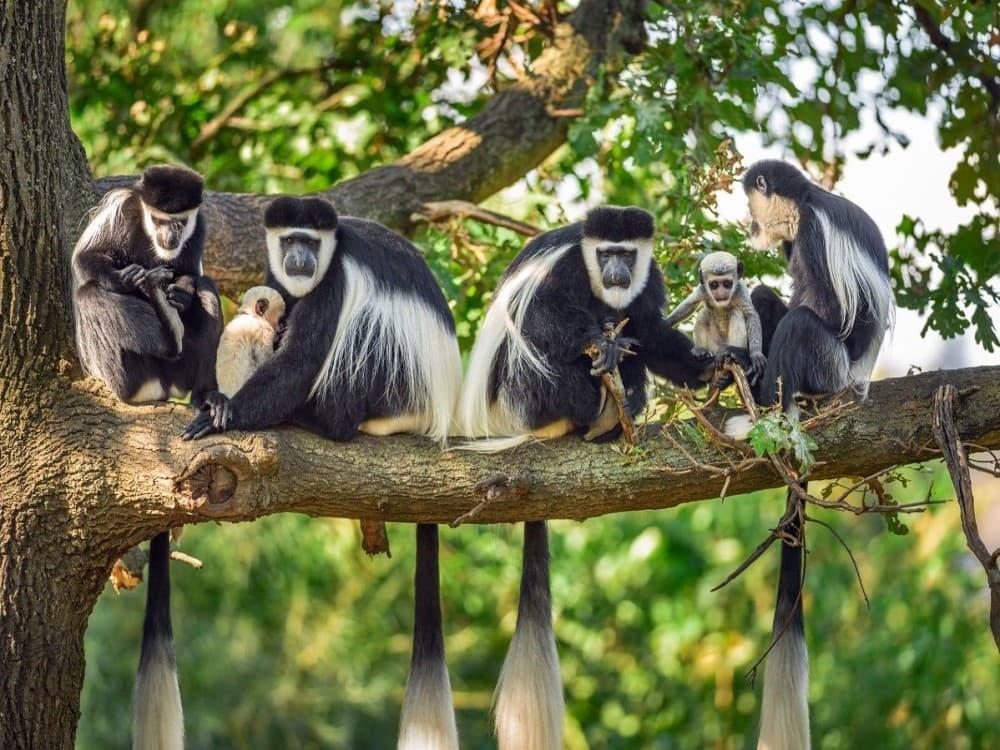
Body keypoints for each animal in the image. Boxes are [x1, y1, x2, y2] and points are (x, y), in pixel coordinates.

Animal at [72, 164, 222, 407]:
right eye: (158, 220)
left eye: (180, 222)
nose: (170, 237)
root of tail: (163, 386)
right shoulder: (121, 210)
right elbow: (86, 257)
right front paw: (124, 279)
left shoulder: (199, 227)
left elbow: (191, 273)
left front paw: (182, 292)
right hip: (131, 376)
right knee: (88, 294)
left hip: (182, 372)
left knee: (206, 285)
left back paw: (207, 396)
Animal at [181, 196, 463, 750]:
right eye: (290, 240)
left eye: (310, 242)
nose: (300, 259)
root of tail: (435, 414)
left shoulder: (333, 283)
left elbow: (299, 360)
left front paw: (224, 412)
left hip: (393, 382)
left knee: (363, 334)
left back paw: (321, 418)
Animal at [457, 206, 716, 750]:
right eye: (605, 253)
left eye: (627, 255)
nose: (616, 272)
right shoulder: (565, 271)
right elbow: (542, 318)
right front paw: (599, 340)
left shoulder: (647, 282)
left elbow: (651, 332)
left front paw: (711, 366)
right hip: (525, 396)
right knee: (544, 349)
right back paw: (593, 402)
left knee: (633, 345)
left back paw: (619, 411)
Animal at [664, 250, 766, 383]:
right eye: (714, 285)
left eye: (727, 284)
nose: (721, 293)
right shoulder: (702, 289)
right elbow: (689, 306)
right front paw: (666, 322)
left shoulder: (740, 290)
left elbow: (750, 315)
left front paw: (756, 354)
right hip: (713, 346)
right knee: (704, 314)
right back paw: (701, 351)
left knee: (736, 312)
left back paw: (732, 354)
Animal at [728, 160, 894, 750]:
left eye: (752, 203)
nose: (750, 225)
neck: (805, 205)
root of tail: (857, 380)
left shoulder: (817, 239)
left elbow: (827, 308)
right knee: (769, 301)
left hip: (830, 367)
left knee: (804, 324)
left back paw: (764, 409)